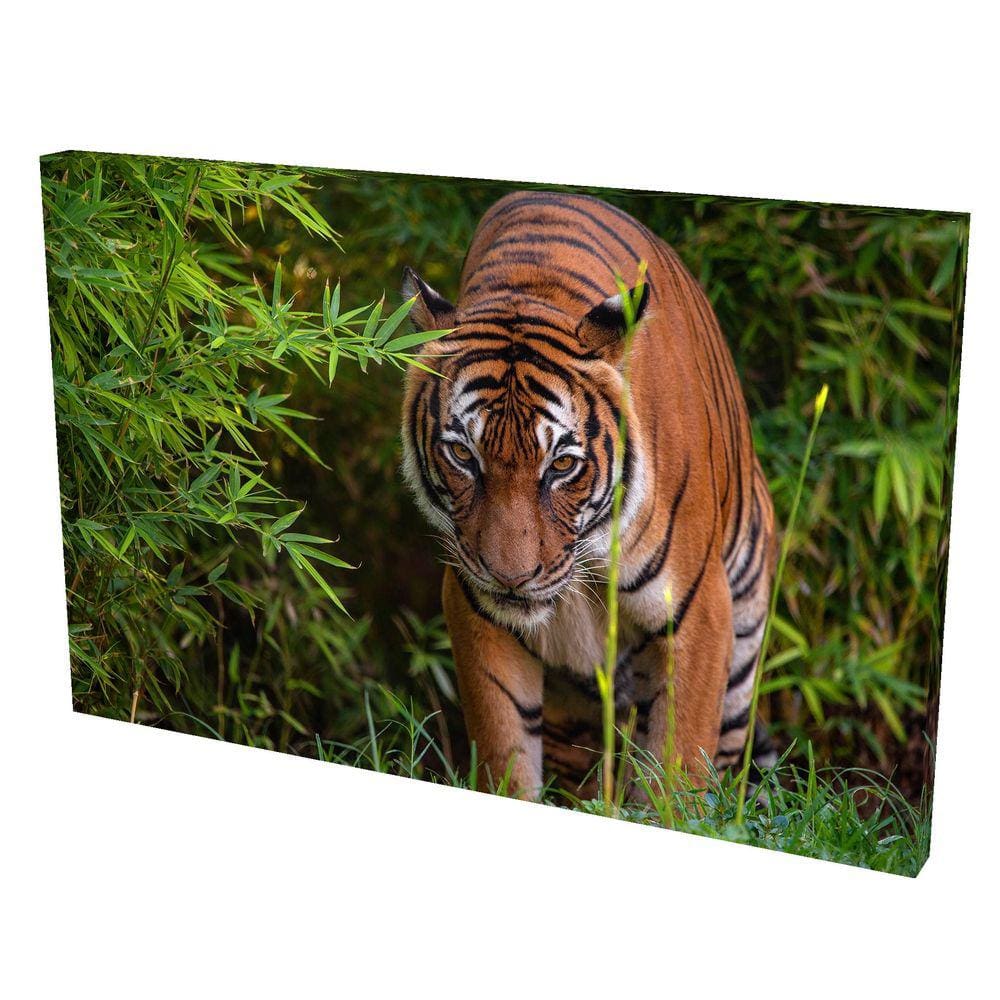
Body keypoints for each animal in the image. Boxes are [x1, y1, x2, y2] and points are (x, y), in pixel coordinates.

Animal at [400, 190, 777, 800]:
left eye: (562, 465)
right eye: (462, 456)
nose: (510, 578)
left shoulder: (699, 612)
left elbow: (678, 769)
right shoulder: (476, 608)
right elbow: (506, 754)